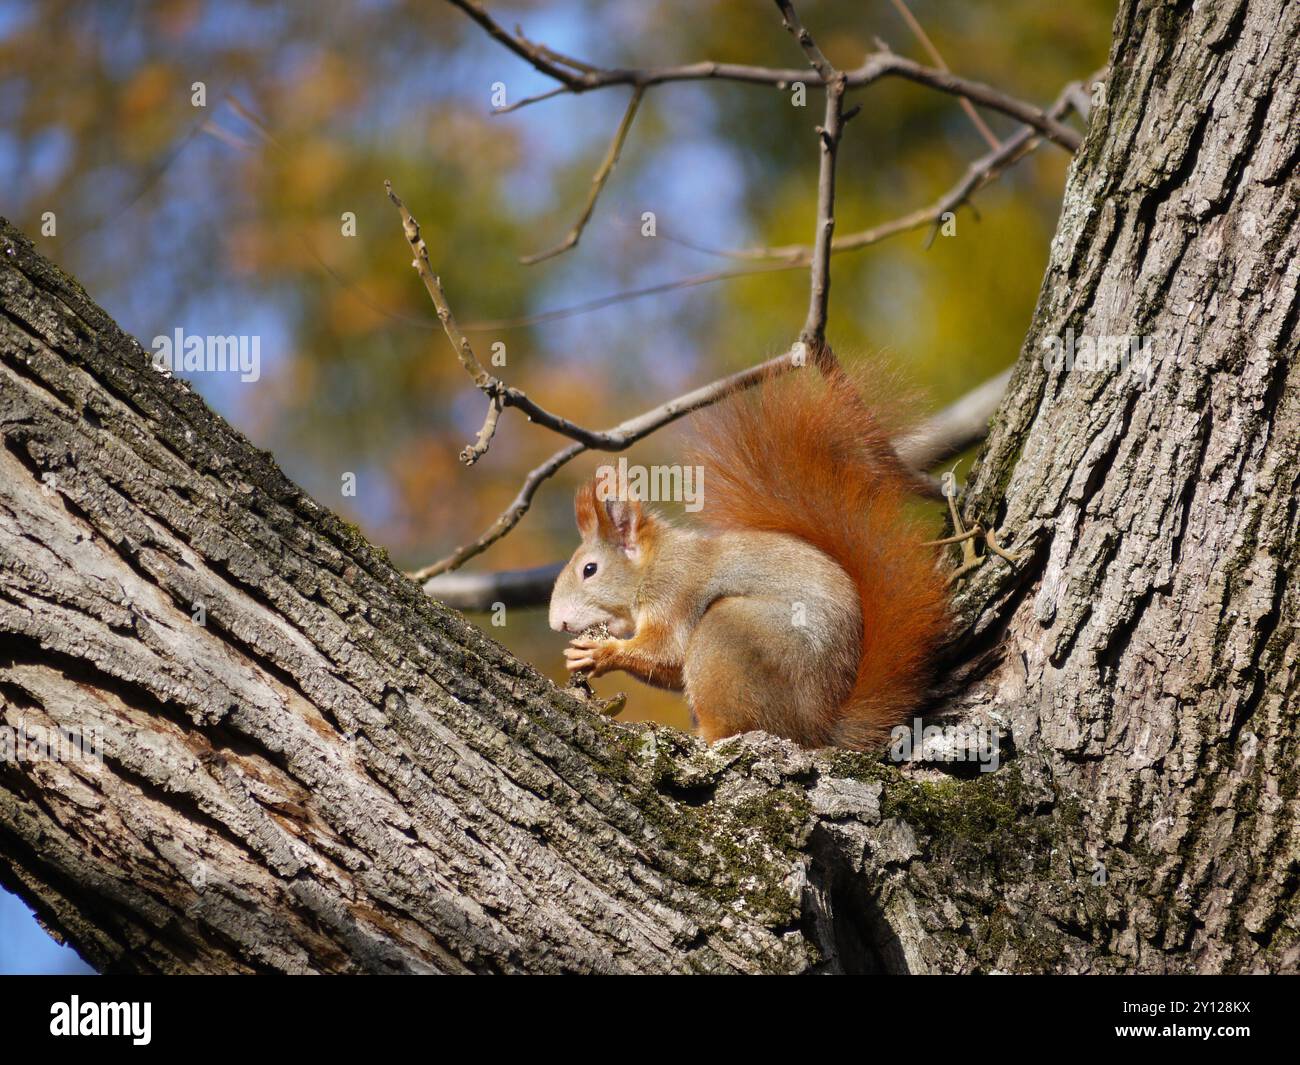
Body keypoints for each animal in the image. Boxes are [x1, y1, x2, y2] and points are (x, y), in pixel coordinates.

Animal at [546, 361, 946, 754]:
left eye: (589, 570)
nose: (556, 623)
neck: (655, 563)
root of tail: (818, 726)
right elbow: (670, 670)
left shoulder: (675, 593)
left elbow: (666, 650)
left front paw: (598, 652)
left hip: (730, 636)